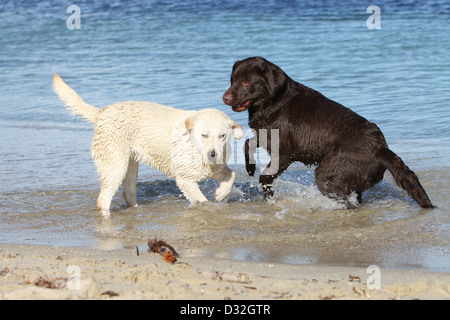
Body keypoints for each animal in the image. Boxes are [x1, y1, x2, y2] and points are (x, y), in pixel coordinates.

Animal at [53, 74, 244, 215]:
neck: (194, 147)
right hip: (116, 165)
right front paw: (211, 206)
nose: (213, 154)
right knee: (103, 199)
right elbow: (202, 200)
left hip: (130, 164)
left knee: (128, 192)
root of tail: (102, 113)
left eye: (222, 136)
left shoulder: (213, 168)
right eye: (204, 135)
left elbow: (232, 174)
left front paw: (221, 193)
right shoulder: (185, 179)